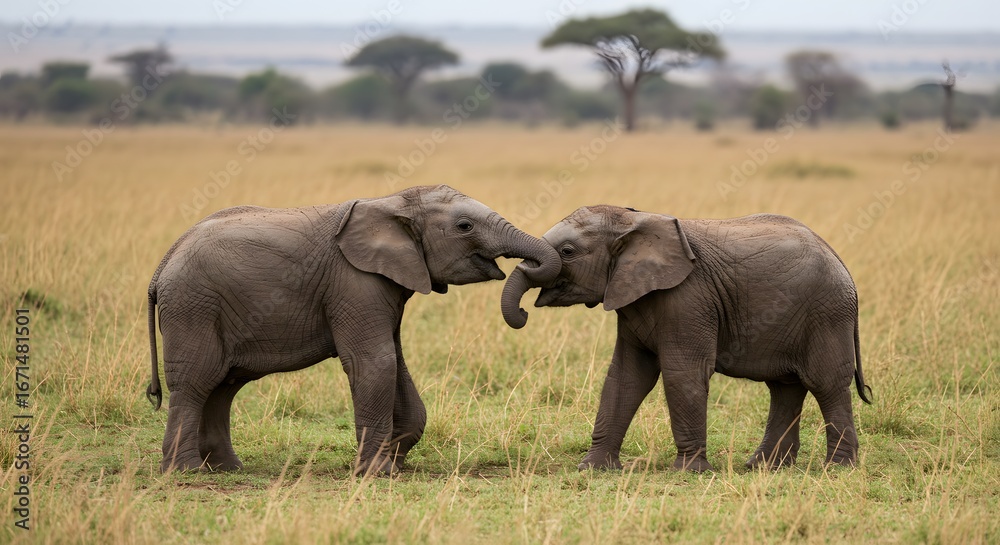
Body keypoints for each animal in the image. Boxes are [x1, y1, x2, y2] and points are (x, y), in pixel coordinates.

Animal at [146, 185, 560, 475]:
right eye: (464, 227)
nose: (524, 311)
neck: (393, 202)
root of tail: (164, 261)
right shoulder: (354, 281)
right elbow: (375, 362)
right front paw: (377, 472)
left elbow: (396, 363)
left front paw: (397, 460)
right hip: (193, 306)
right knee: (197, 381)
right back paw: (186, 471)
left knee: (223, 386)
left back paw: (227, 469)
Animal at [501, 206, 872, 472]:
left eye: (567, 251)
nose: (523, 312)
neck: (632, 220)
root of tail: (840, 260)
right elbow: (626, 376)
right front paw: (593, 469)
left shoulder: (687, 297)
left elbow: (683, 374)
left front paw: (688, 471)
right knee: (785, 388)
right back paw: (763, 468)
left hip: (827, 314)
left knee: (826, 384)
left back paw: (836, 468)